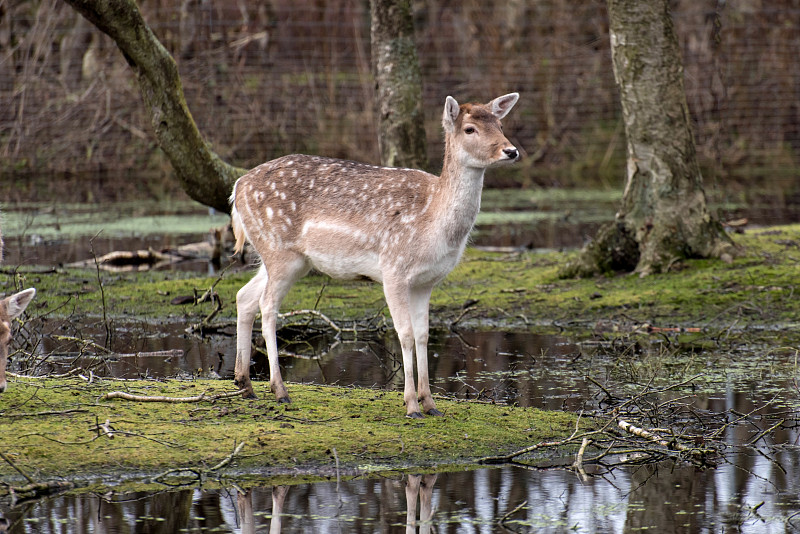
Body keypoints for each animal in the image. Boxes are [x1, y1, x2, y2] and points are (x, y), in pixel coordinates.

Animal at [228, 93, 520, 418]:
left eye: (500, 124)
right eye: (469, 129)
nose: (511, 150)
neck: (433, 224)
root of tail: (237, 187)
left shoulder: (426, 282)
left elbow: (424, 334)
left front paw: (431, 404)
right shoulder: (393, 269)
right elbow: (405, 333)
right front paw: (411, 405)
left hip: (286, 258)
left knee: (244, 296)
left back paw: (245, 384)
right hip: (279, 250)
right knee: (267, 305)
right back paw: (279, 390)